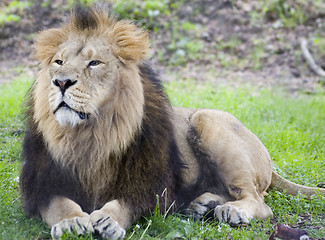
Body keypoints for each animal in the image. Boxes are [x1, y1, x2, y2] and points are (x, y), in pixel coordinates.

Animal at [20, 5, 324, 240]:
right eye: (58, 62)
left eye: (94, 63)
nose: (61, 82)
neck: (90, 134)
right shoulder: (41, 185)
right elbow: (59, 204)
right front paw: (71, 221)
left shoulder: (149, 184)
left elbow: (125, 204)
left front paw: (109, 220)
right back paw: (203, 205)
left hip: (206, 119)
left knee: (259, 201)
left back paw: (231, 210)